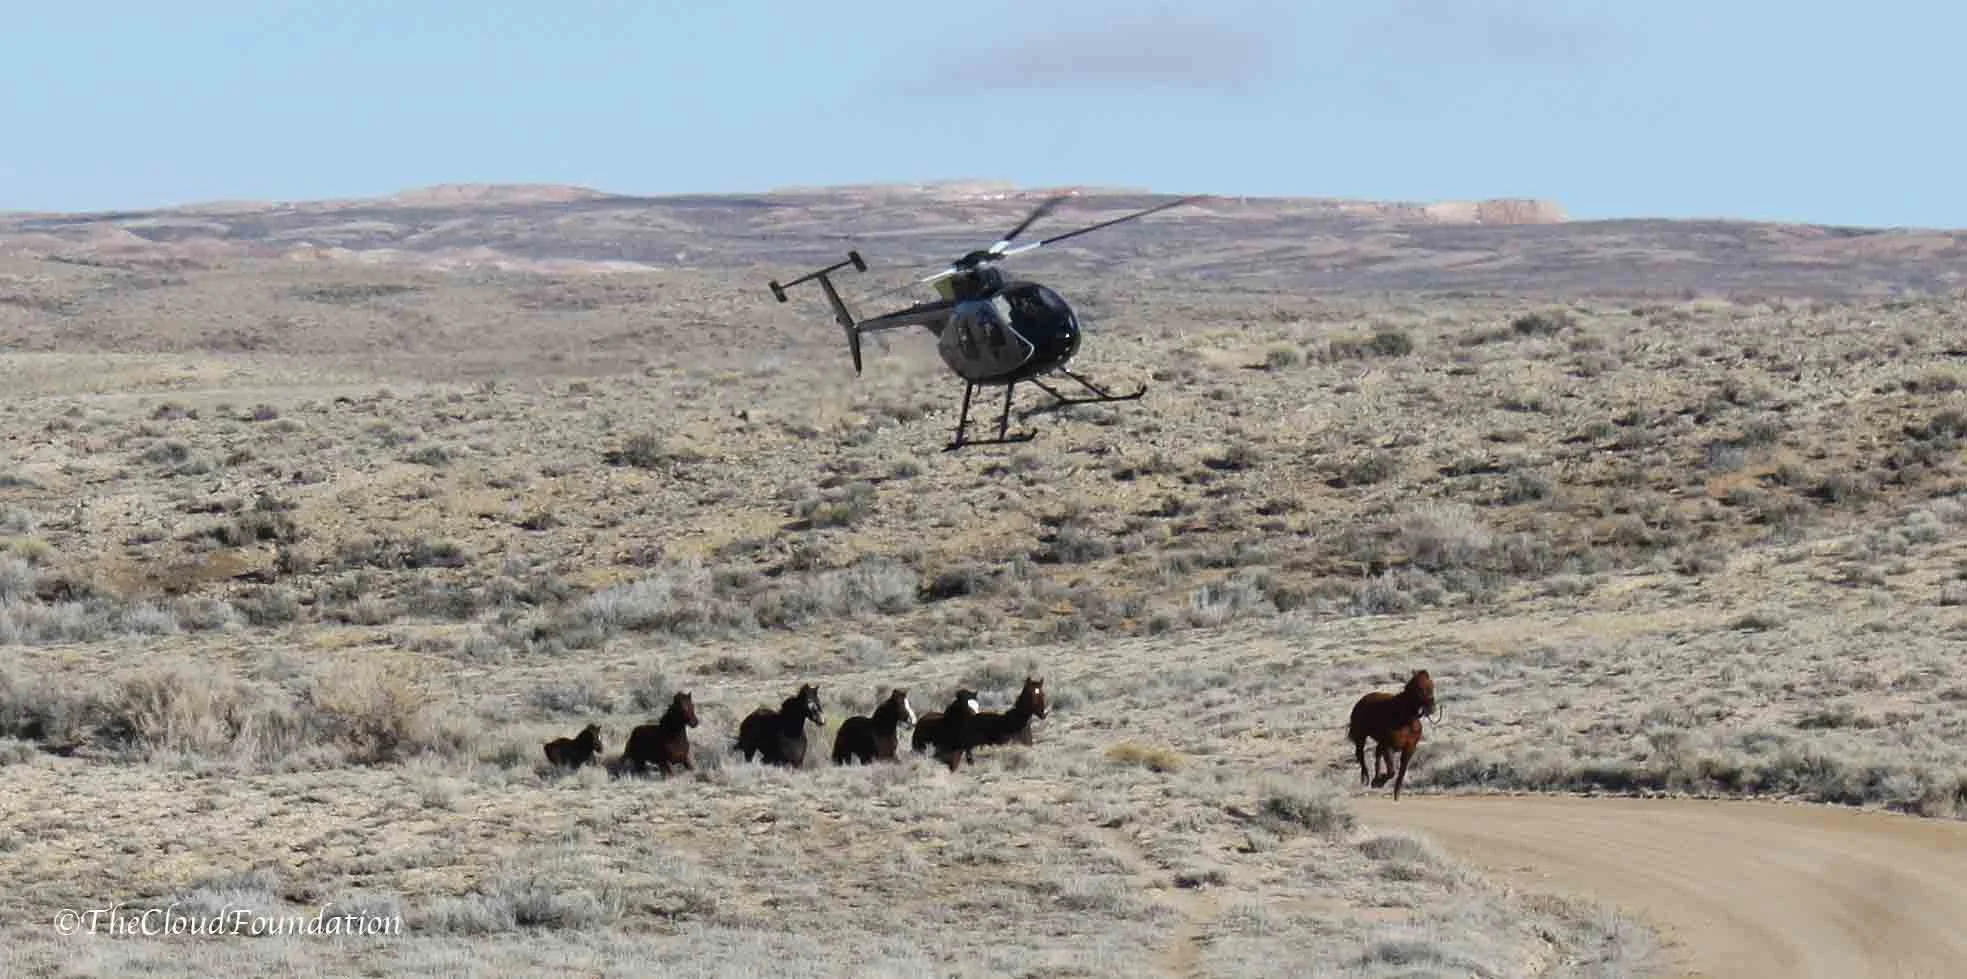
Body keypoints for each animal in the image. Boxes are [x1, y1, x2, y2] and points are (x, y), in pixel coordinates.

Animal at [1347, 669, 1439, 801]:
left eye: (1432, 686)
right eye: (1419, 688)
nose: (1432, 708)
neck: (1405, 719)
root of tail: (1361, 700)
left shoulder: (1409, 748)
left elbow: (1401, 771)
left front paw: (1396, 793)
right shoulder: (1389, 746)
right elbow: (1392, 771)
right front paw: (1379, 783)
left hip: (1379, 742)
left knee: (1377, 754)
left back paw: (1375, 778)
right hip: (1361, 737)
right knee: (1360, 755)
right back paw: (1366, 778)